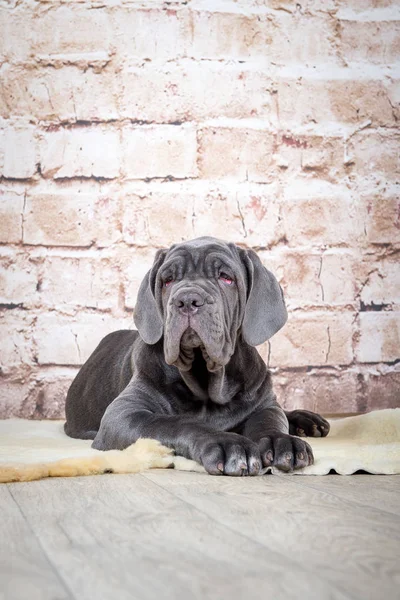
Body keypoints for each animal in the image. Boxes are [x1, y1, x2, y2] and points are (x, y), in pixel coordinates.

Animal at [65, 237, 328, 476]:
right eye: (168, 280)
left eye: (226, 277)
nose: (187, 299)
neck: (205, 379)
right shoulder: (123, 413)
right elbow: (173, 423)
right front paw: (226, 442)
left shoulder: (263, 404)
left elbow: (270, 419)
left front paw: (280, 440)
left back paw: (307, 421)